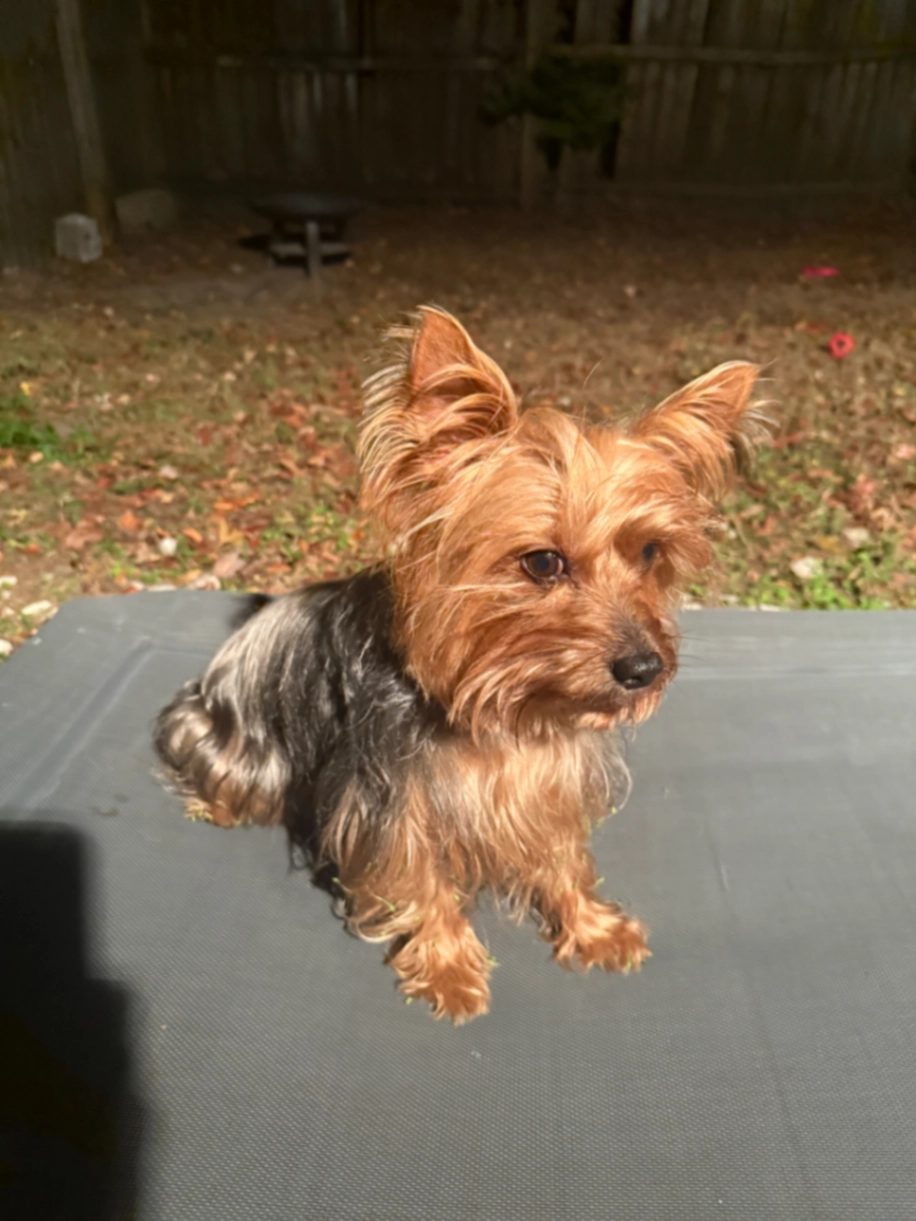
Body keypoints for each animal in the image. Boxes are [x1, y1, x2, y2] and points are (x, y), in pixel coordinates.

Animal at [155, 306, 768, 1023]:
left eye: (649, 552)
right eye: (543, 562)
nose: (645, 667)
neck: (504, 704)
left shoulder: (548, 782)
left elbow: (564, 855)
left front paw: (591, 926)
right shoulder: (392, 801)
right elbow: (417, 876)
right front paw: (447, 965)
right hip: (238, 744)